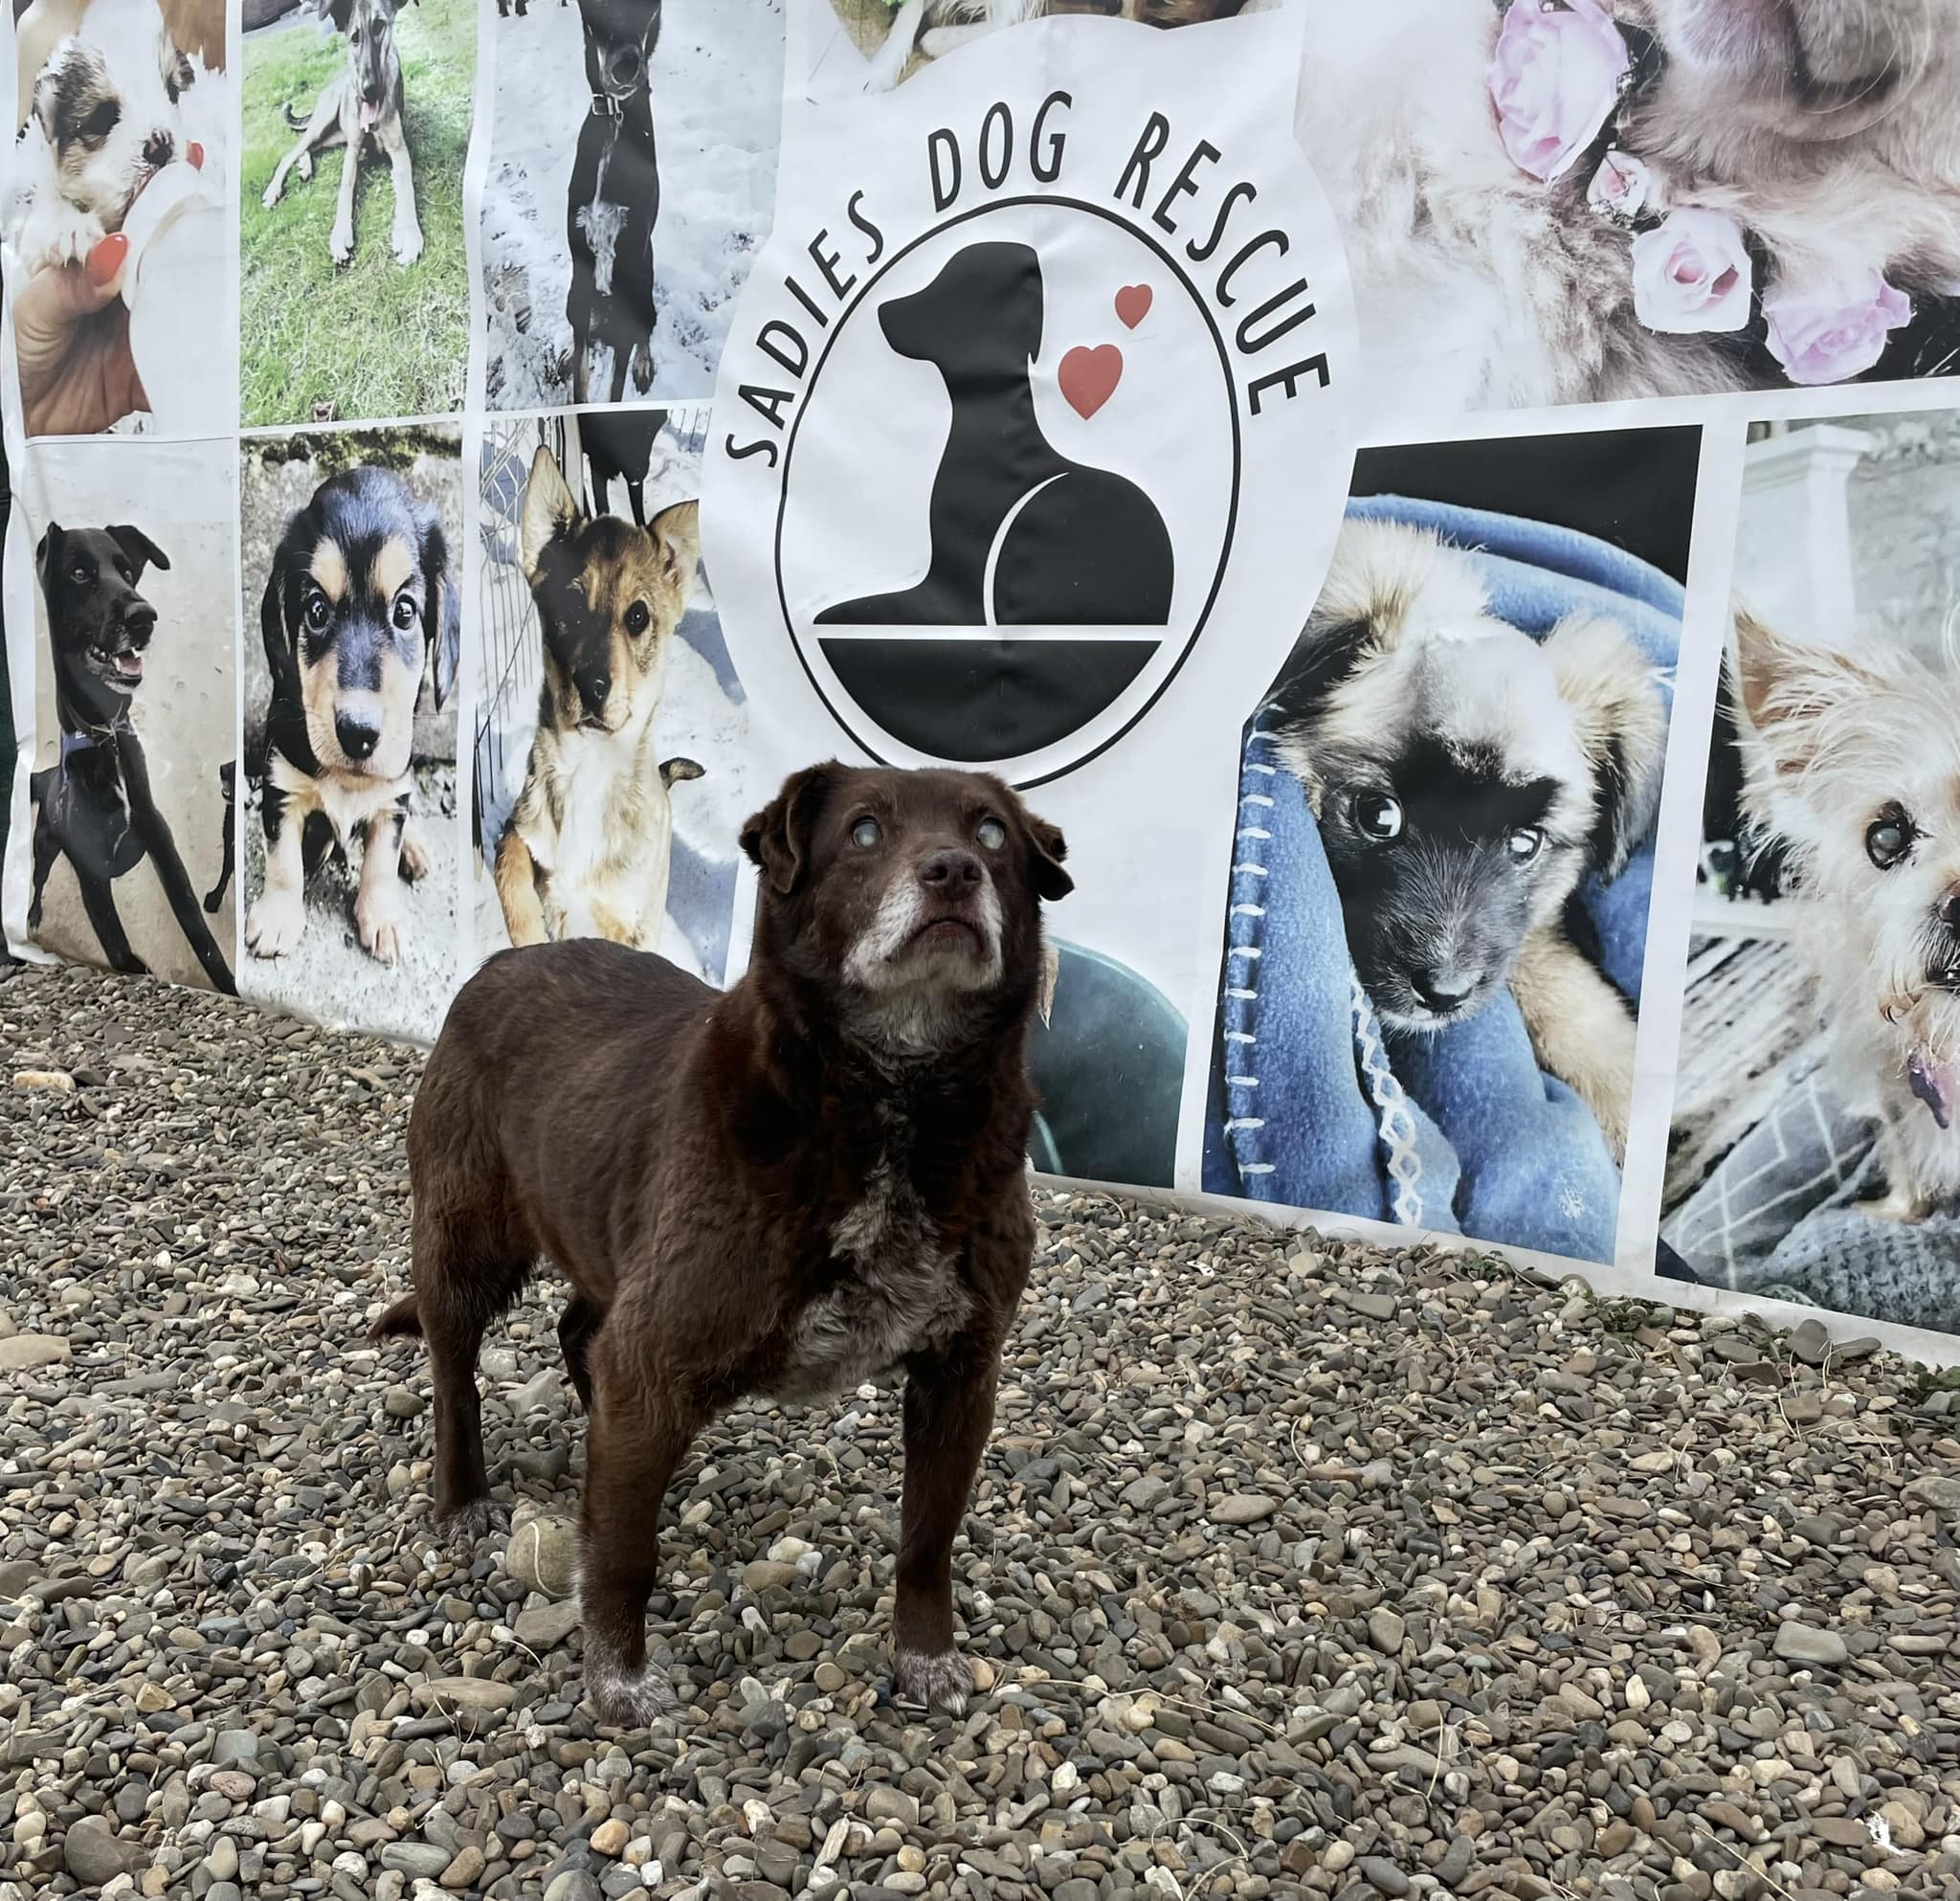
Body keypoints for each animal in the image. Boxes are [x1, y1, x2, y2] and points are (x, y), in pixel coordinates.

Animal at [368, 756, 1074, 1716]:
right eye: (863, 830)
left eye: (992, 833)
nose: (954, 871)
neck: (891, 1110)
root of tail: (500, 961)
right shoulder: (659, 1348)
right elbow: (624, 1557)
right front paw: (619, 1680)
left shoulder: (961, 1370)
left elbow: (928, 1541)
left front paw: (925, 1656)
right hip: (466, 1243)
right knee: (454, 1374)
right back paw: (462, 1497)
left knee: (581, 1337)